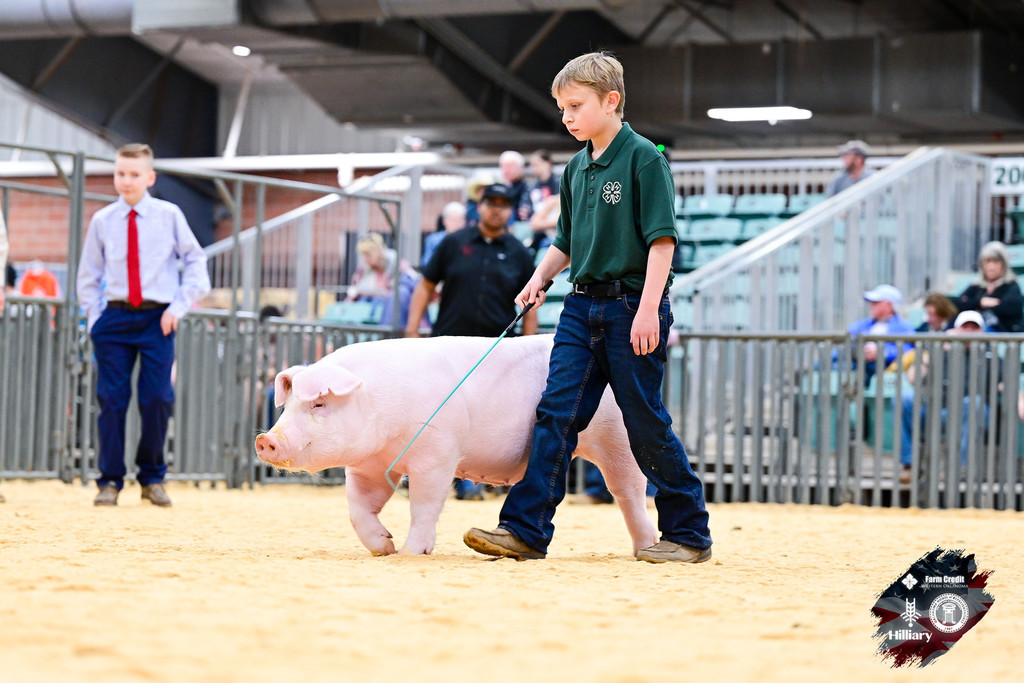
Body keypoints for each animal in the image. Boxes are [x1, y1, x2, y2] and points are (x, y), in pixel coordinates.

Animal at [254, 334, 659, 556]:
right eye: (290, 404)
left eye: (319, 404)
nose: (264, 439)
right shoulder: (370, 464)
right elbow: (358, 507)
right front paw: (383, 546)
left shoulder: (436, 452)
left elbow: (424, 505)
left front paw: (410, 552)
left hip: (616, 436)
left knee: (629, 492)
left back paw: (645, 550)